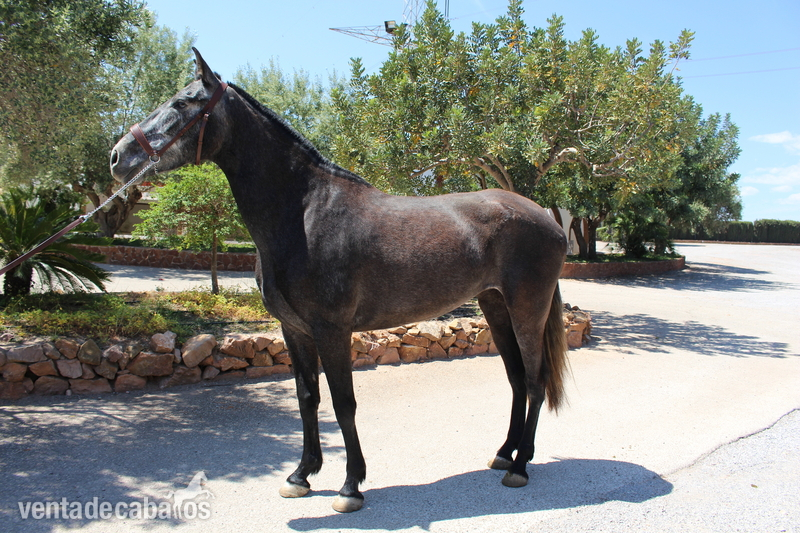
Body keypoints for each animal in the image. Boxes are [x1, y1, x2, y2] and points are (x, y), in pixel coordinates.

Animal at [110, 48, 569, 514]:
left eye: (183, 103)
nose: (118, 156)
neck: (305, 212)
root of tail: (546, 218)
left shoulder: (332, 329)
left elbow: (343, 404)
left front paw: (351, 485)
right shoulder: (294, 330)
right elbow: (307, 398)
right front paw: (301, 474)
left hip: (527, 308)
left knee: (534, 380)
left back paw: (520, 467)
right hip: (495, 305)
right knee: (516, 378)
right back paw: (505, 453)